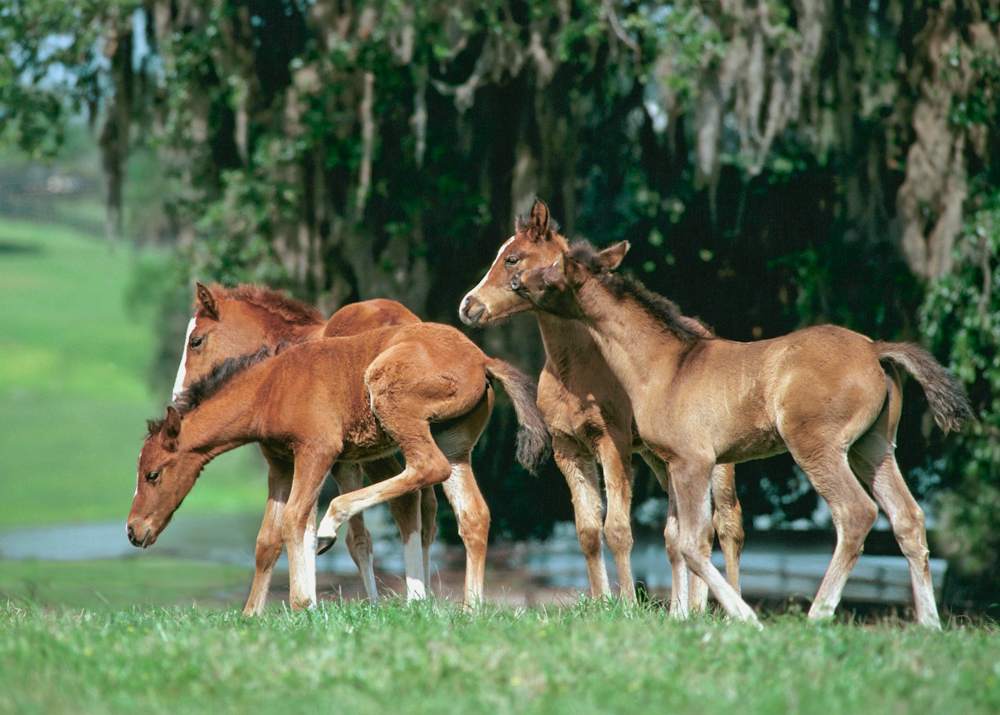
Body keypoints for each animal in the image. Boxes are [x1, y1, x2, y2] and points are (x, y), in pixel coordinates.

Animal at [130, 322, 551, 614]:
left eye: (153, 473)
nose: (134, 531)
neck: (271, 388)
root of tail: (481, 359)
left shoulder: (318, 450)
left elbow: (295, 519)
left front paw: (303, 604)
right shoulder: (281, 466)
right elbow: (267, 538)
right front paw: (250, 615)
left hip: (396, 403)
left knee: (427, 468)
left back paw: (333, 523)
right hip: (457, 444)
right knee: (473, 514)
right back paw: (469, 609)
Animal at [172, 283, 438, 602]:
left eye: (196, 341)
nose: (177, 400)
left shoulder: (309, 455)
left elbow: (299, 531)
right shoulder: (333, 460)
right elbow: (342, 534)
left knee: (408, 499)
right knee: (430, 503)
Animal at [459, 201, 743, 613]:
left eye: (512, 258)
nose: (468, 306)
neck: (574, 371)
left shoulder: (612, 443)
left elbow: (618, 529)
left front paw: (627, 606)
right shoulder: (568, 447)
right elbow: (589, 530)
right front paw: (601, 602)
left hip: (717, 456)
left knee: (728, 523)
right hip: (664, 458)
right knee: (681, 529)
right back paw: (684, 610)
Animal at [507, 225, 973, 629]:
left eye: (552, 273)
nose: (515, 283)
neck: (663, 364)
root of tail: (876, 349)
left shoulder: (692, 461)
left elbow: (693, 543)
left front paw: (744, 615)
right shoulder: (672, 463)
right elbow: (678, 539)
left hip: (817, 446)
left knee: (856, 514)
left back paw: (817, 615)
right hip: (872, 448)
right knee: (908, 517)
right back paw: (930, 625)